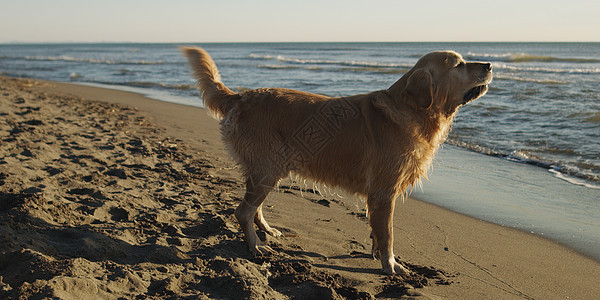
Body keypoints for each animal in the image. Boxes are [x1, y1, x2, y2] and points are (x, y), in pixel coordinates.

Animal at [182, 47, 492, 274]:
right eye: (459, 65)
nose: (489, 64)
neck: (412, 110)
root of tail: (241, 96)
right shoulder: (385, 192)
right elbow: (389, 234)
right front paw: (391, 265)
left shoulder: (378, 196)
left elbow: (377, 232)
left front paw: (376, 253)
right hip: (268, 169)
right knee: (243, 211)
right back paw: (255, 246)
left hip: (264, 171)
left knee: (253, 208)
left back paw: (267, 231)